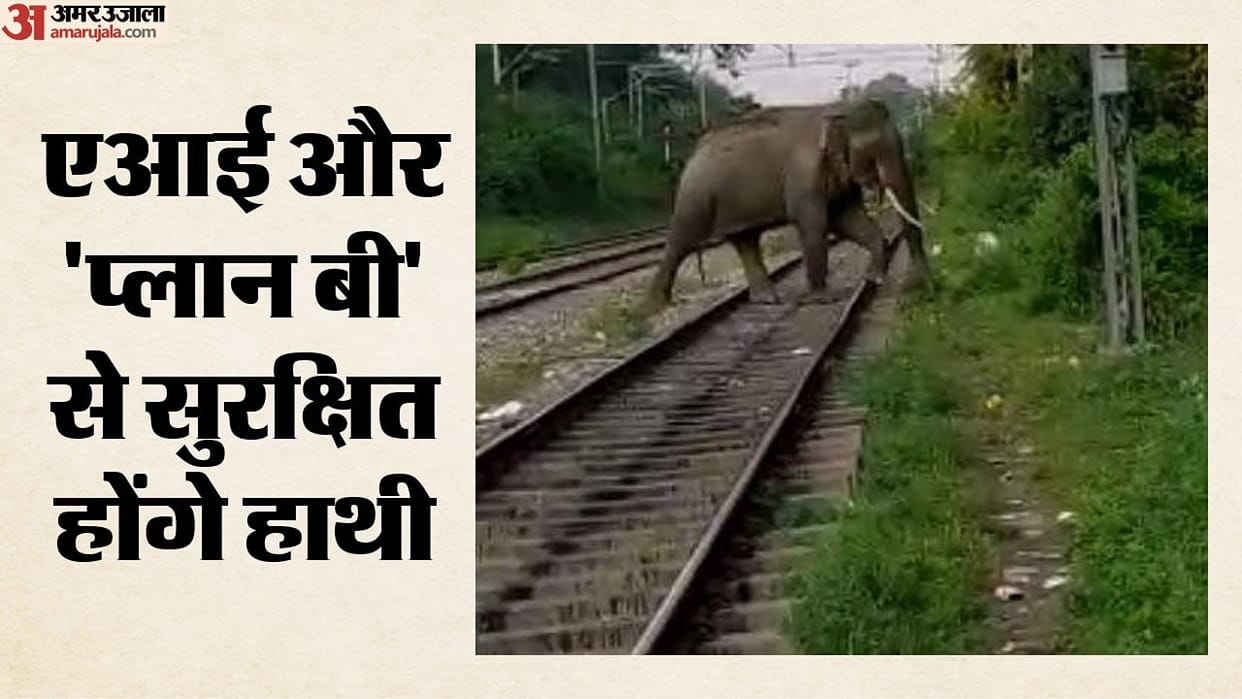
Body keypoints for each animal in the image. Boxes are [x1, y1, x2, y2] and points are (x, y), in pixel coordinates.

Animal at [643, 99, 932, 311]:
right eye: (874, 152)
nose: (917, 282)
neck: (835, 108)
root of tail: (694, 152)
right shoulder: (804, 175)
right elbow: (816, 224)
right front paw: (819, 301)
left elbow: (849, 220)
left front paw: (873, 279)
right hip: (695, 197)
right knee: (681, 242)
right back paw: (656, 307)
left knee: (745, 241)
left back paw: (768, 300)